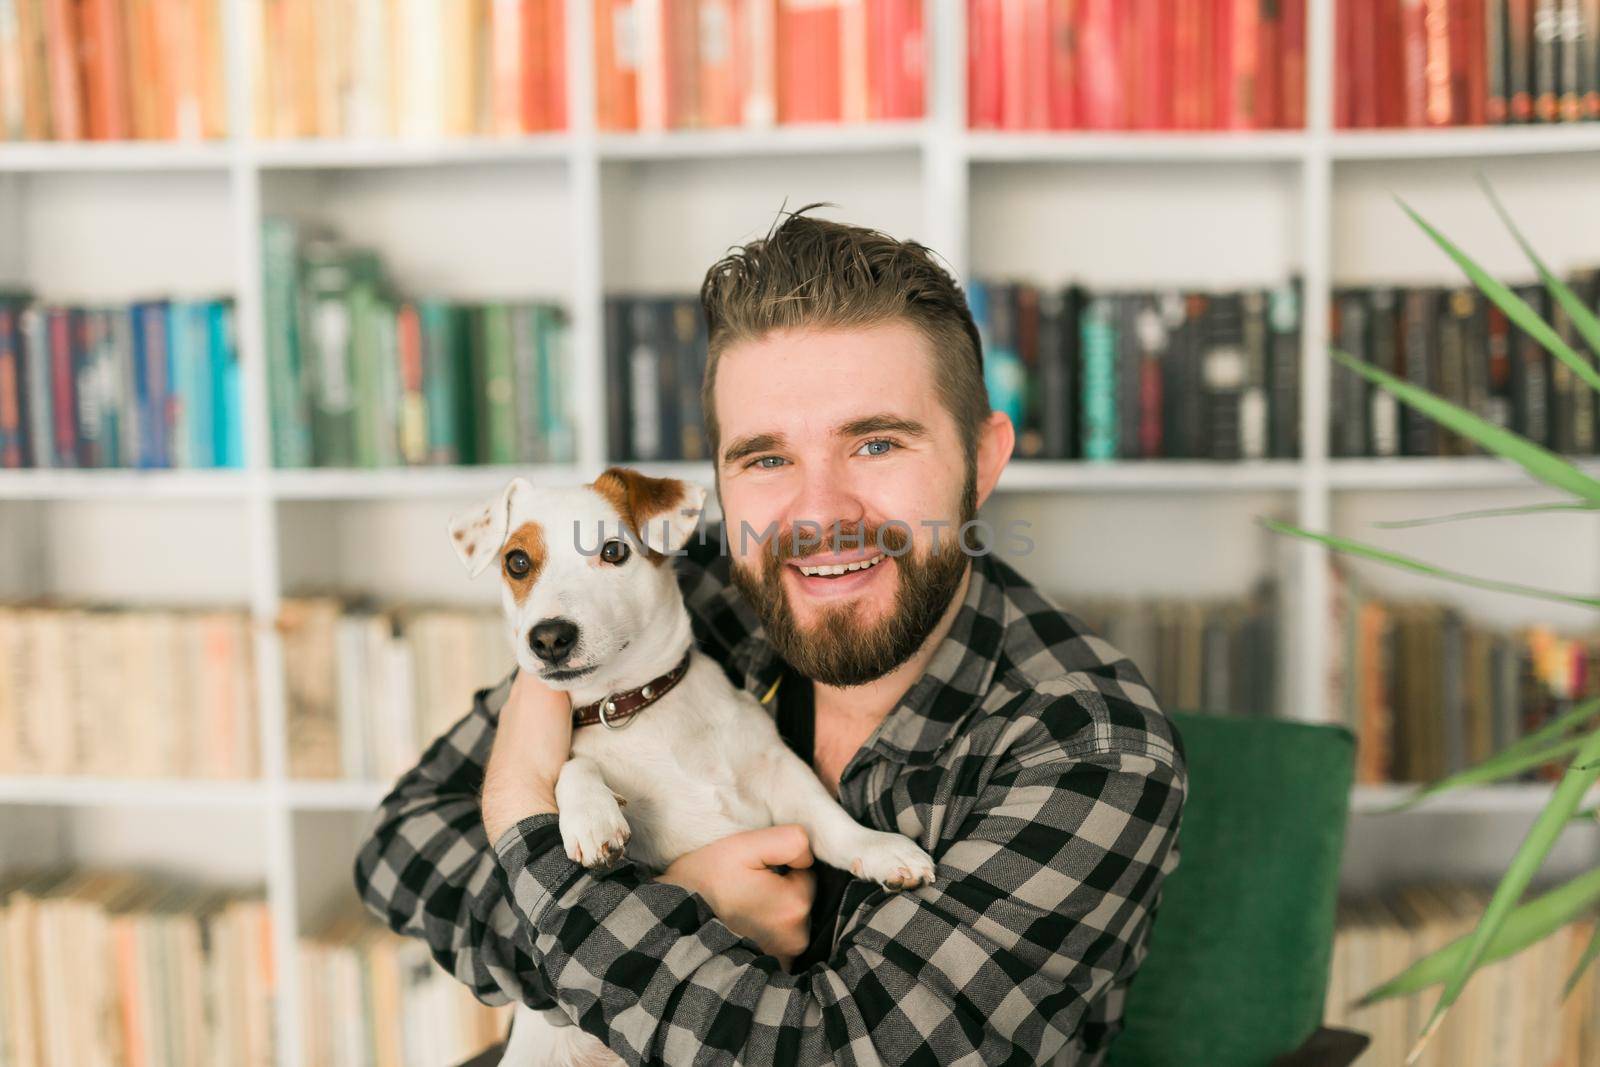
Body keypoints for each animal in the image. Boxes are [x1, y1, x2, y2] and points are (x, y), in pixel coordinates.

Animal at [448, 467, 934, 1067]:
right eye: (516, 562)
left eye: (614, 552)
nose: (549, 637)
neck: (633, 706)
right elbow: (575, 767)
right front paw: (592, 819)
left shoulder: (778, 771)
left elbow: (831, 820)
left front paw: (880, 849)